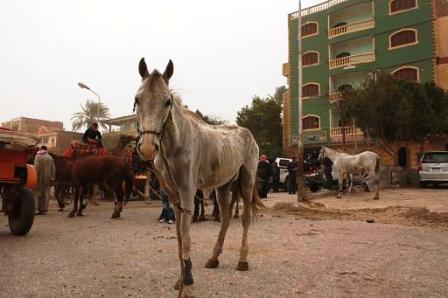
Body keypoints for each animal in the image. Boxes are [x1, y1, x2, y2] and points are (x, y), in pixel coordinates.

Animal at [135, 58, 264, 298]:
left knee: (244, 219)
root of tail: (247, 134)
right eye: (137, 99)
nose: (148, 148)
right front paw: (182, 279)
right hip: (222, 187)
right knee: (224, 219)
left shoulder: (187, 192)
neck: (175, 145)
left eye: (167, 101)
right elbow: (178, 237)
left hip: (247, 181)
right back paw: (214, 258)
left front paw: (187, 285)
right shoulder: (173, 195)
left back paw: (242, 260)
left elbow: (186, 237)